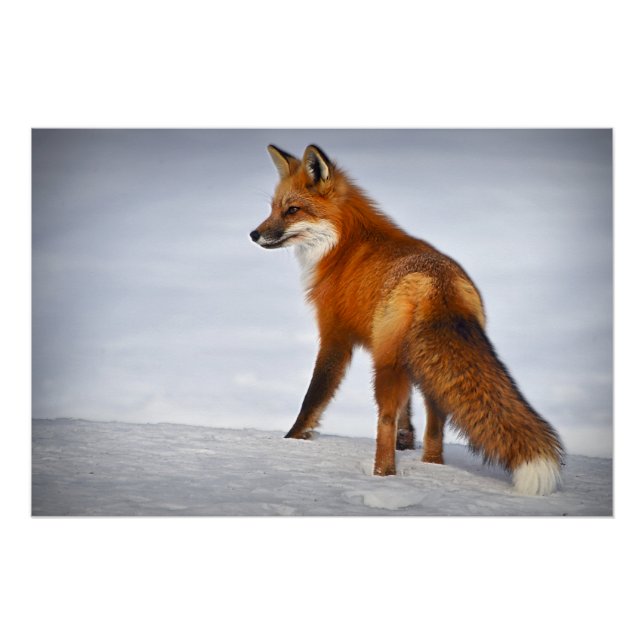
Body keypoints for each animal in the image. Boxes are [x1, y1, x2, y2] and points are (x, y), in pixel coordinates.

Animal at [250, 143, 564, 495]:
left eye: (292, 210)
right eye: (273, 208)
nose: (254, 234)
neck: (343, 246)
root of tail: (438, 283)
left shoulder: (335, 335)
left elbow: (314, 397)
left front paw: (292, 439)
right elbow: (408, 414)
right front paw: (407, 441)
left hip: (387, 365)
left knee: (384, 419)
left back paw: (382, 475)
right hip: (422, 364)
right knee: (436, 423)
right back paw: (431, 466)